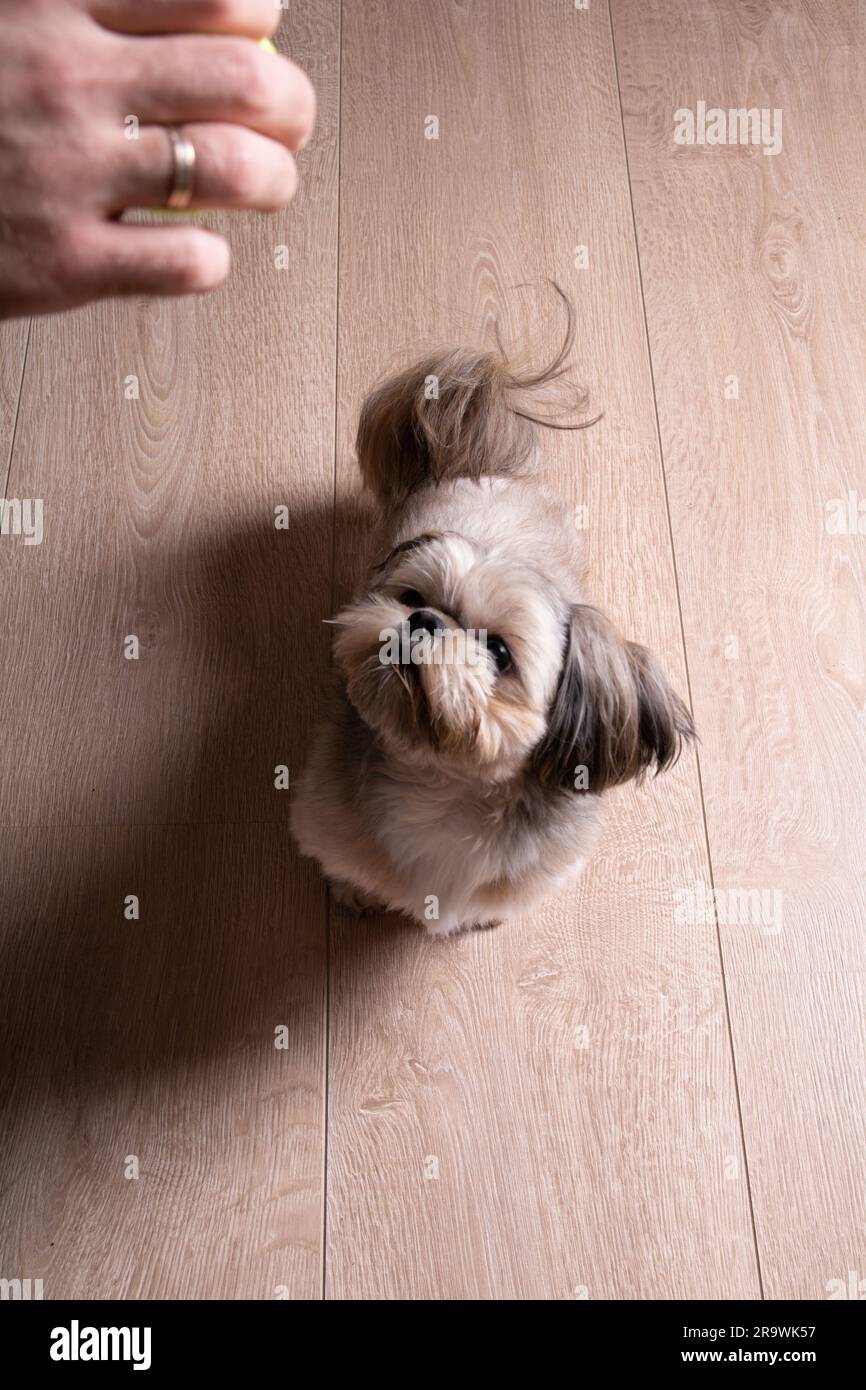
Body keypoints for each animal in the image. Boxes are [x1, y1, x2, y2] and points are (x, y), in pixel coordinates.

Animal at [293, 297, 697, 939]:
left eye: (500, 651)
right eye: (411, 596)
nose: (425, 621)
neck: (442, 789)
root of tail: (479, 466)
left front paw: (481, 921)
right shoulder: (326, 821)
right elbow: (344, 865)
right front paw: (354, 892)